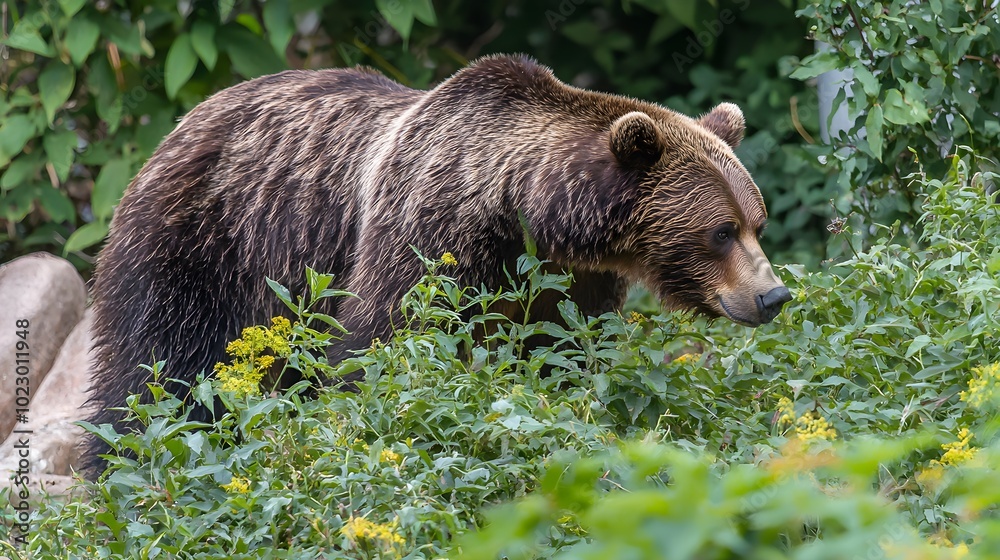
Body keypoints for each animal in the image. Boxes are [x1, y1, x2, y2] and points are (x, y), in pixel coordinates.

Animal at [83, 54, 791, 475]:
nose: (773, 295)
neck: (523, 211)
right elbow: (384, 346)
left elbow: (563, 354)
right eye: (721, 231)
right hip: (206, 244)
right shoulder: (428, 231)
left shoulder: (569, 282)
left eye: (757, 222)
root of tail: (181, 122)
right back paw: (126, 466)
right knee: (158, 369)